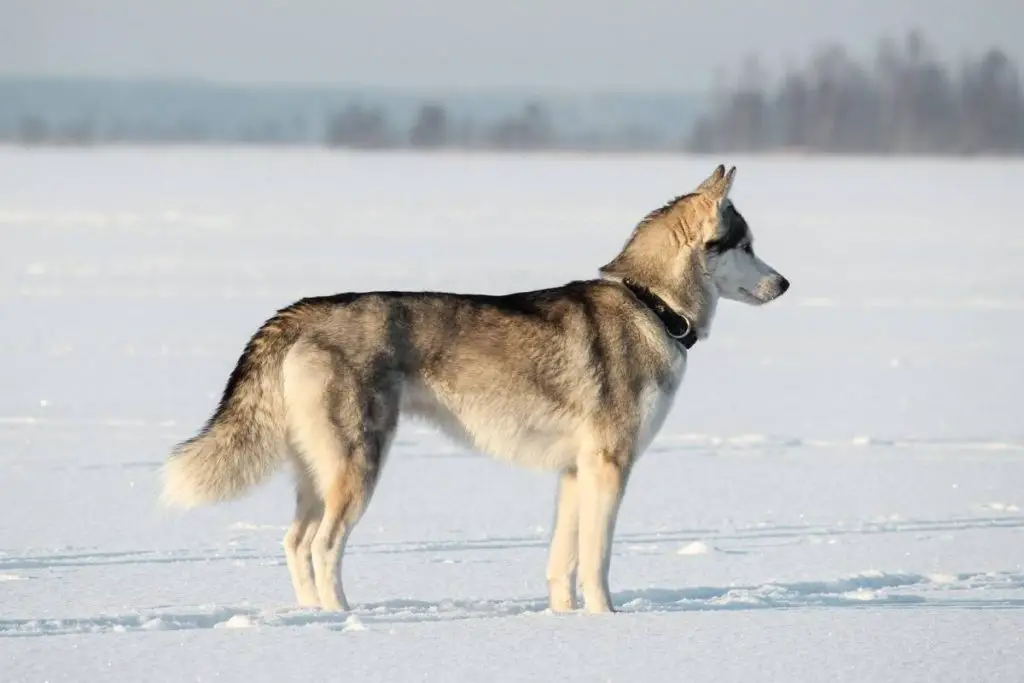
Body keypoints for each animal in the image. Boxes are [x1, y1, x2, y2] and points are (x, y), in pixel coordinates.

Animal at [159, 165, 786, 614]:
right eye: (747, 245)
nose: (784, 283)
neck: (652, 306)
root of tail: (301, 311)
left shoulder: (575, 471)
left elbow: (562, 562)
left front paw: (565, 619)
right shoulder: (610, 465)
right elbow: (597, 561)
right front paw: (605, 620)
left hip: (318, 471)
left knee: (294, 542)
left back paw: (313, 616)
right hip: (359, 467)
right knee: (322, 546)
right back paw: (343, 619)